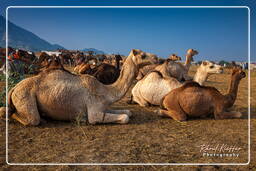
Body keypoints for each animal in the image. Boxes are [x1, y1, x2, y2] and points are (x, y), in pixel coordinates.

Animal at [0, 48, 152, 125]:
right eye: (143, 55)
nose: (156, 58)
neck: (106, 91)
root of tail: (13, 88)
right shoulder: (94, 112)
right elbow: (124, 117)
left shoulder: (103, 106)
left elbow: (128, 112)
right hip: (25, 96)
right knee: (30, 119)